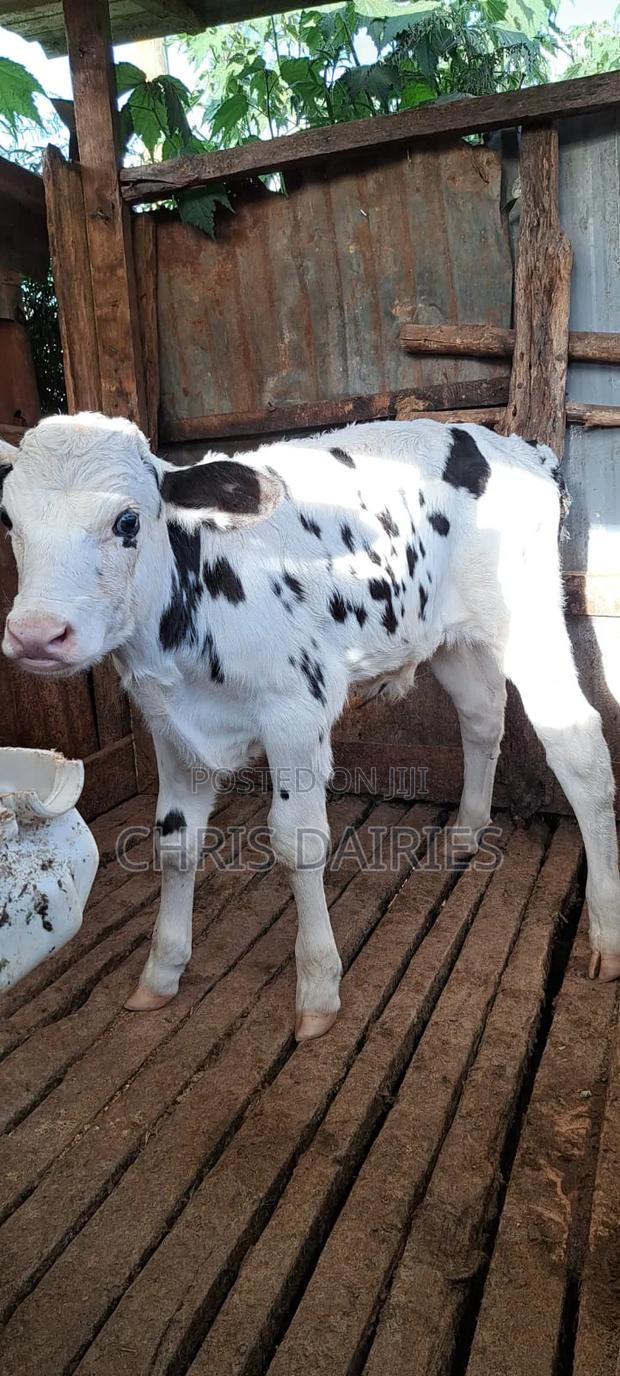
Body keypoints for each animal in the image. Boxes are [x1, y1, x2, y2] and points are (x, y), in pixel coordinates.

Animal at [1, 412, 619, 1039]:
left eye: (127, 520)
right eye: (7, 519)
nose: (37, 635)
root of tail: (517, 445)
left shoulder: (295, 713)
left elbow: (297, 843)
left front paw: (319, 987)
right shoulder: (172, 731)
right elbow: (174, 842)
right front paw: (161, 972)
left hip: (529, 618)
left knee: (581, 750)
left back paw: (606, 934)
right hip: (448, 634)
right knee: (482, 715)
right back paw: (467, 833)